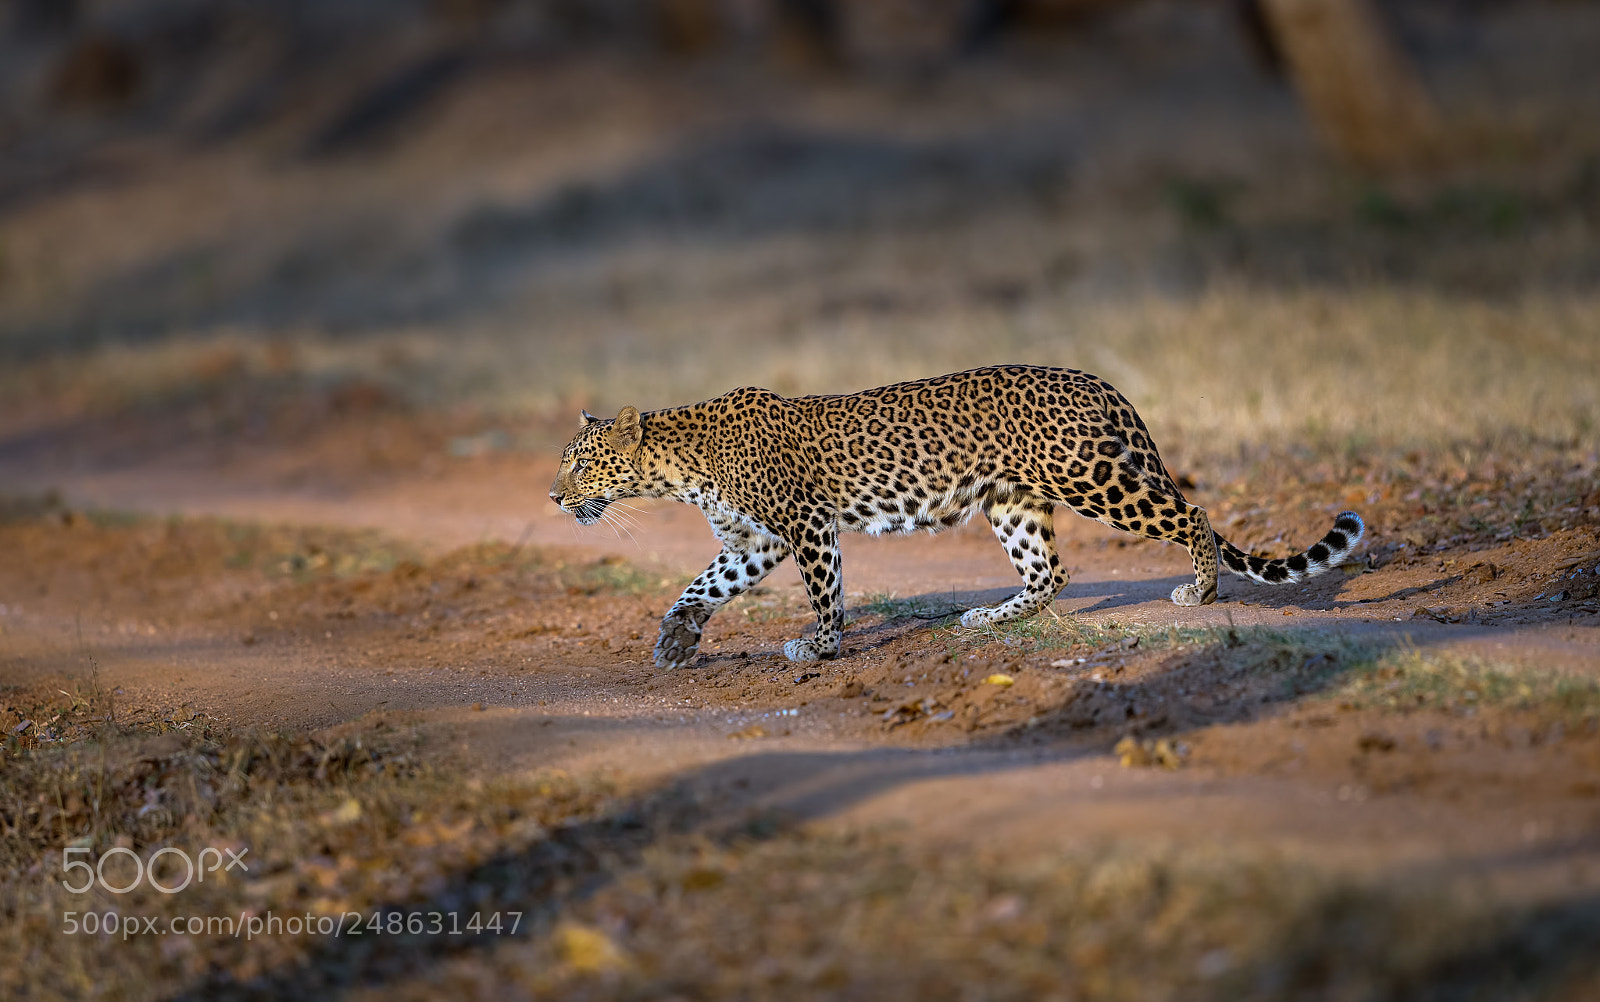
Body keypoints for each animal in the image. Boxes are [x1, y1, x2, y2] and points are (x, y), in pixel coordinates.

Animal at [547, 365, 1365, 669]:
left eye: (581, 464)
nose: (553, 498)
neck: (679, 468)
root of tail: (1099, 381)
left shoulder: (805, 526)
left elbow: (825, 593)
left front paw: (820, 647)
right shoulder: (755, 542)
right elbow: (700, 586)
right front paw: (674, 640)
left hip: (1091, 479)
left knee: (1191, 512)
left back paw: (1203, 591)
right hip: (1013, 501)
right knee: (1051, 571)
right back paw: (989, 617)